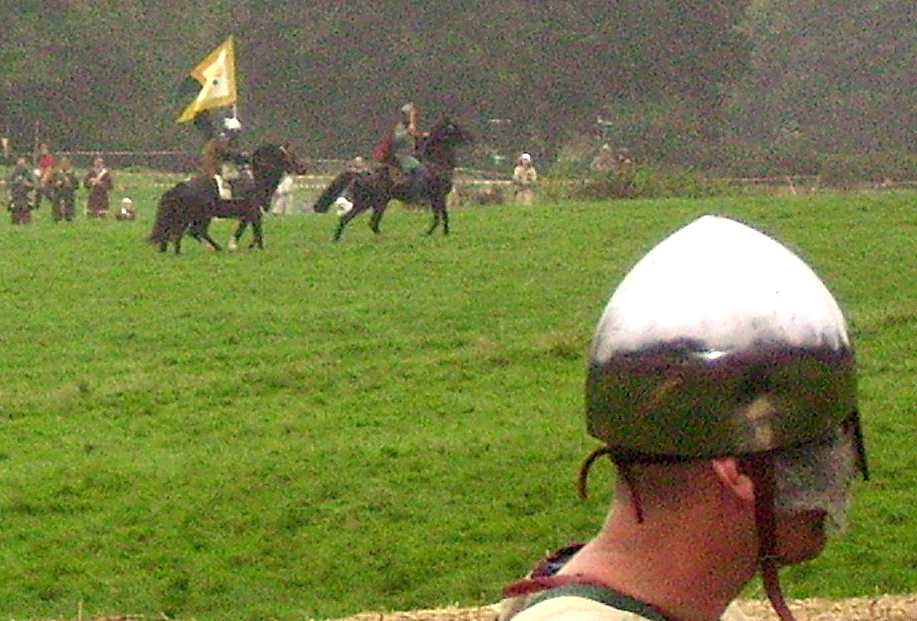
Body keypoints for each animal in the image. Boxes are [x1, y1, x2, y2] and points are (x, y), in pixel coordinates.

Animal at [149, 143, 305, 254]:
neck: (257, 180)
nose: (303, 168)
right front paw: (243, 246)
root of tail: (180, 186)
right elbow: (254, 230)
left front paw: (247, 246)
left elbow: (250, 229)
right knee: (190, 231)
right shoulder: (254, 212)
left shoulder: (249, 214)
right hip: (200, 216)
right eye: (291, 155)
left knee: (182, 232)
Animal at [312, 117, 473, 241]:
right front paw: (432, 233)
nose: (469, 137)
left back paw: (337, 239)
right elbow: (440, 217)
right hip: (375, 203)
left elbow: (442, 216)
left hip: (367, 203)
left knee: (352, 220)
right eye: (454, 127)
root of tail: (361, 173)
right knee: (368, 222)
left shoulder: (437, 198)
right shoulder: (438, 196)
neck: (437, 164)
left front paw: (441, 233)